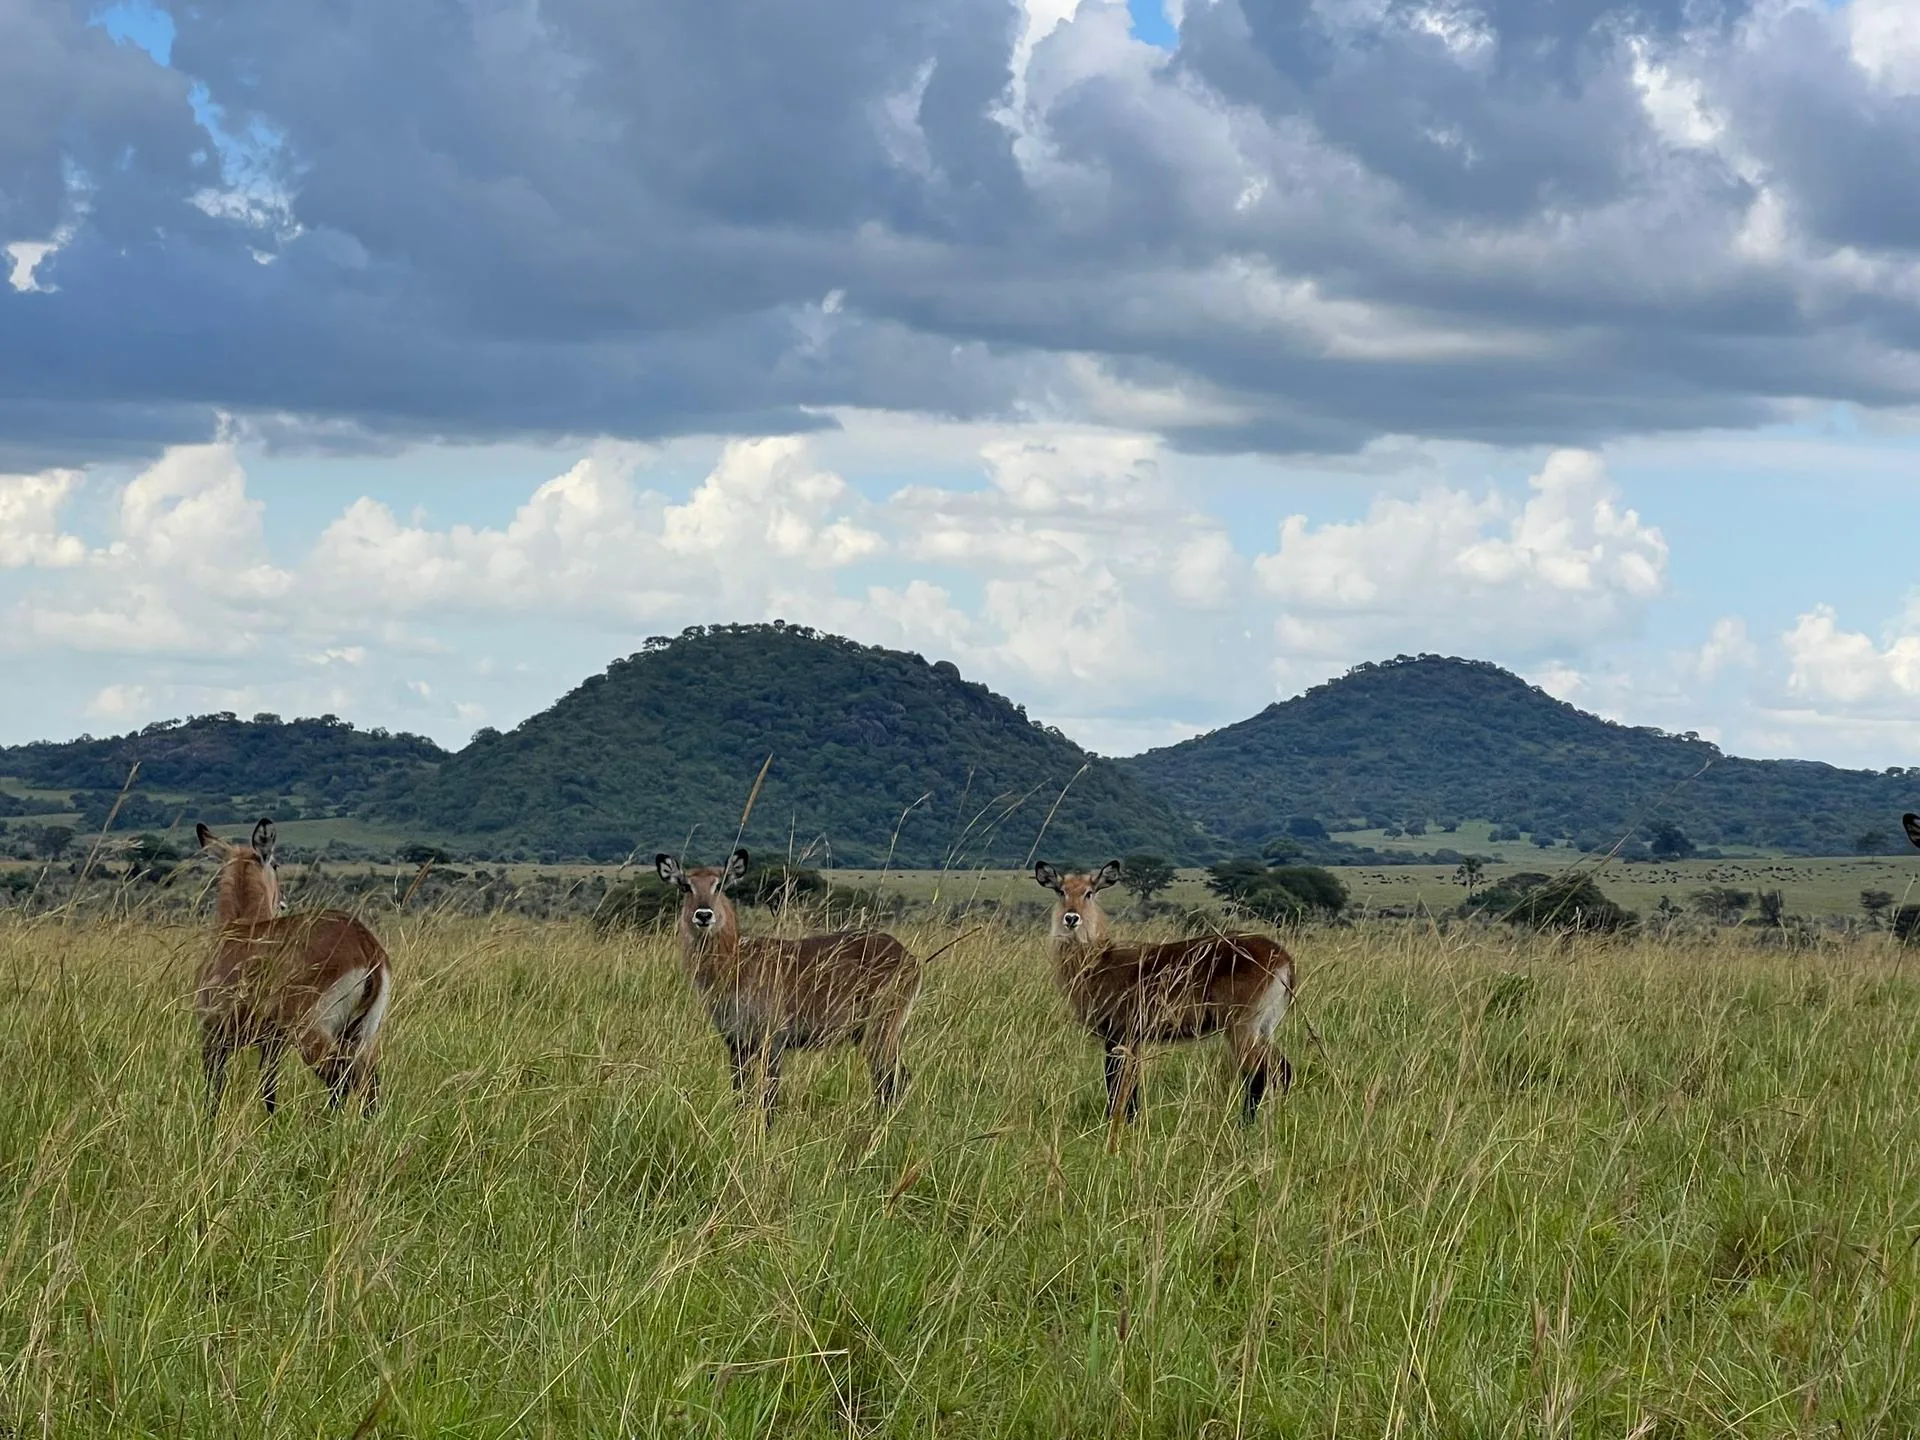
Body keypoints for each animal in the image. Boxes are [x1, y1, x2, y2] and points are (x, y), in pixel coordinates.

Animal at [196, 819, 393, 1117]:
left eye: (275, 864)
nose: (283, 902)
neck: (239, 929)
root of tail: (366, 943)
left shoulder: (214, 1034)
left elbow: (215, 1090)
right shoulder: (272, 1043)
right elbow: (269, 1090)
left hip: (313, 1032)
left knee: (340, 1078)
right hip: (362, 1035)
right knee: (369, 1086)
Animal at [655, 848, 922, 1120]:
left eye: (719, 884)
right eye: (685, 886)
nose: (703, 915)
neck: (735, 965)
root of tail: (910, 957)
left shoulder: (774, 1039)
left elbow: (770, 1095)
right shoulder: (736, 1042)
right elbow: (740, 1093)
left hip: (881, 1027)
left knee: (895, 1078)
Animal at [1035, 859, 1295, 1124]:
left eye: (1089, 892)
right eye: (1061, 891)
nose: (1071, 918)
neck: (1098, 961)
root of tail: (1282, 957)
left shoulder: (1118, 1034)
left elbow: (1115, 1083)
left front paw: (1113, 1123)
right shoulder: (1134, 1038)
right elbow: (1132, 1084)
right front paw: (1132, 1122)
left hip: (1241, 1027)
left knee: (1259, 1074)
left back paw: (1244, 1125)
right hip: (1264, 1027)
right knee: (1282, 1069)